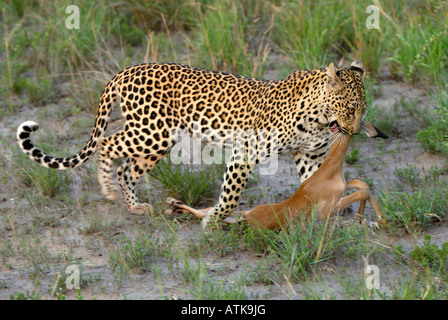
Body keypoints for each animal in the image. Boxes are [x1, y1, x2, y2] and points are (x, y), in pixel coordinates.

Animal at [16, 60, 368, 230]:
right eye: (351, 108)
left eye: (363, 110)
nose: (356, 130)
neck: (318, 116)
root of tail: (127, 70)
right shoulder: (246, 152)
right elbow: (230, 197)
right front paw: (212, 220)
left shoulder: (309, 156)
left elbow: (315, 187)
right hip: (151, 132)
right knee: (107, 144)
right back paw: (108, 190)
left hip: (156, 141)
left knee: (127, 168)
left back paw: (134, 205)